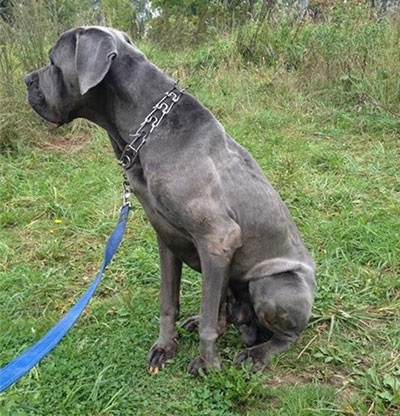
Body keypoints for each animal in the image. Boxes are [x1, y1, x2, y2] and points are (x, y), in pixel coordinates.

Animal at [25, 27, 316, 376]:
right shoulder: (167, 238)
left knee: (285, 334)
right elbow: (168, 302)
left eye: (53, 61)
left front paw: (208, 363)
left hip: (273, 283)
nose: (27, 80)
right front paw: (165, 347)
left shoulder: (217, 238)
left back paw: (257, 353)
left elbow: (209, 321)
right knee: (226, 311)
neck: (148, 127)